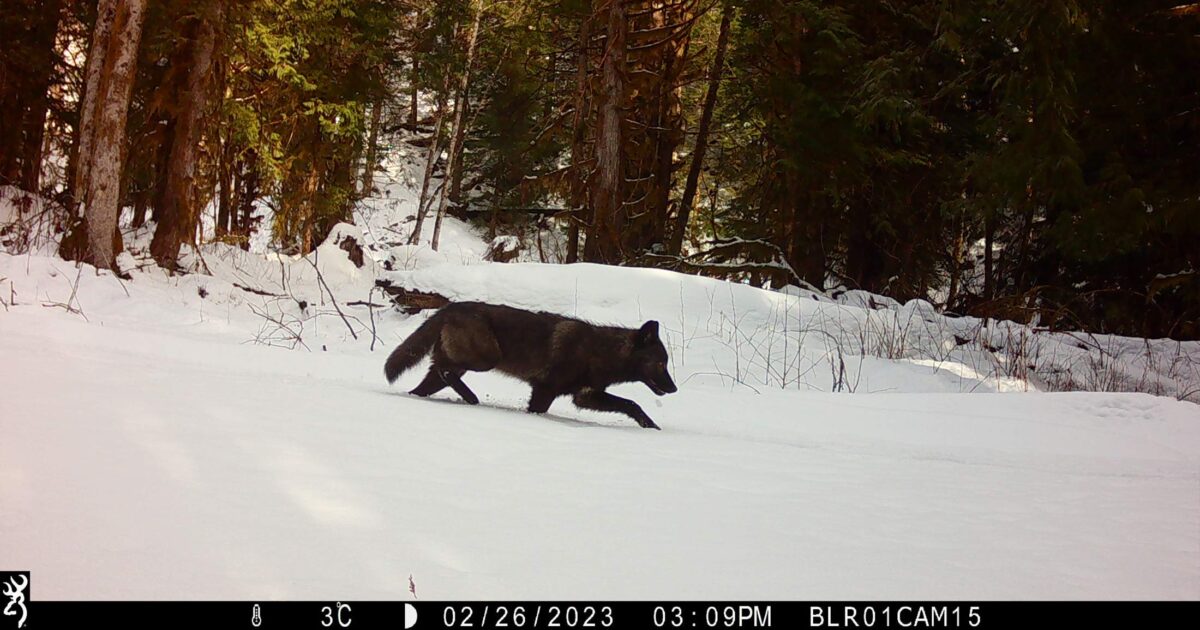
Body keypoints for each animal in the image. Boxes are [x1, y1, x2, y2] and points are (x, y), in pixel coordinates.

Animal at [384, 302, 677, 429]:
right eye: (660, 363)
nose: (674, 389)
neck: (601, 352)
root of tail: (449, 306)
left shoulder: (584, 396)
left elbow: (631, 404)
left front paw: (650, 426)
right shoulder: (546, 391)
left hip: (456, 367)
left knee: (431, 379)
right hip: (484, 360)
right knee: (444, 371)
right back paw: (471, 397)